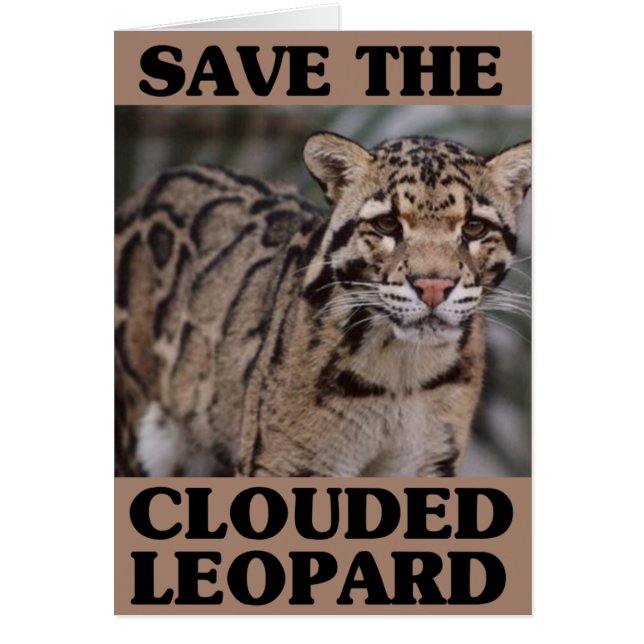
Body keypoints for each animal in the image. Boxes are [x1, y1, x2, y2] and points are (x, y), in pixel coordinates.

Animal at [115, 131, 531, 477]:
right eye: (387, 224)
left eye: (474, 227)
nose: (432, 286)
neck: (401, 370)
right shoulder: (286, 462)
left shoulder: (429, 461)